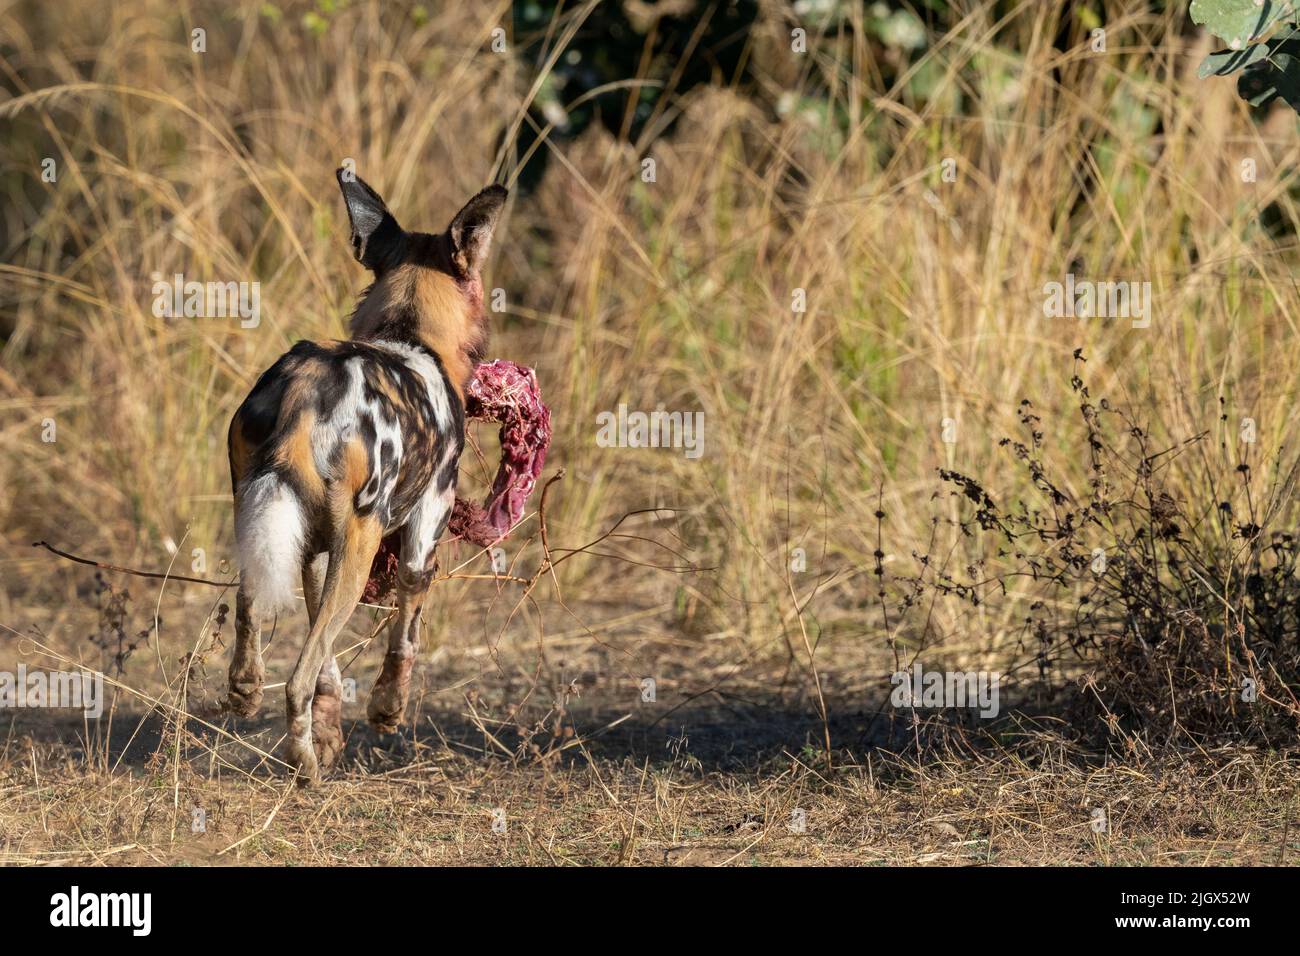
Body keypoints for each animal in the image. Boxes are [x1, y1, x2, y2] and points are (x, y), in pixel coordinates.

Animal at [224, 170, 507, 783]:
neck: (410, 334)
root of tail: (305, 389)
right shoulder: (424, 534)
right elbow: (406, 638)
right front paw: (386, 711)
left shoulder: (314, 551)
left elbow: (328, 667)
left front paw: (331, 731)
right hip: (361, 545)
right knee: (298, 678)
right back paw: (305, 768)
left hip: (267, 529)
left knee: (253, 614)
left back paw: (248, 695)